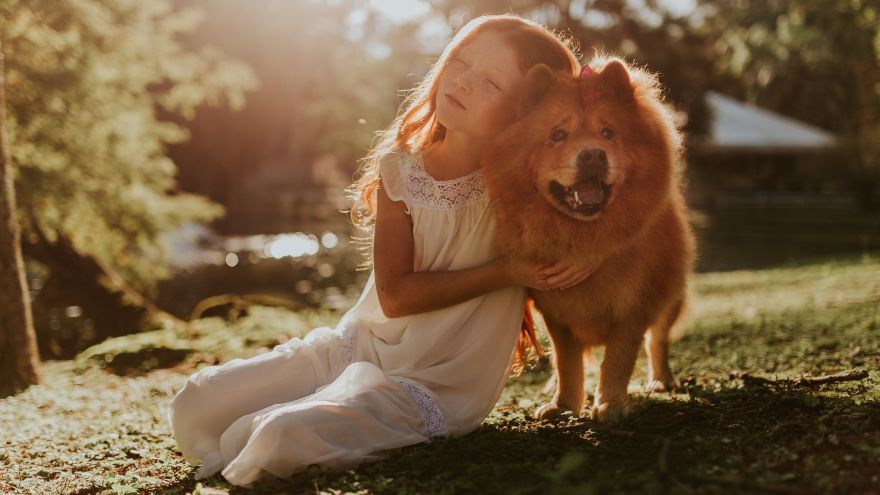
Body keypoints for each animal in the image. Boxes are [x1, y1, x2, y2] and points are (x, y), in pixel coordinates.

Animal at [484, 57, 696, 422]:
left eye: (608, 132)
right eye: (557, 135)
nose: (593, 154)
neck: (583, 235)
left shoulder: (634, 307)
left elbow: (618, 360)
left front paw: (610, 405)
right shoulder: (556, 312)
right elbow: (567, 362)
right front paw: (564, 405)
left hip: (670, 294)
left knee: (658, 340)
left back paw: (661, 381)